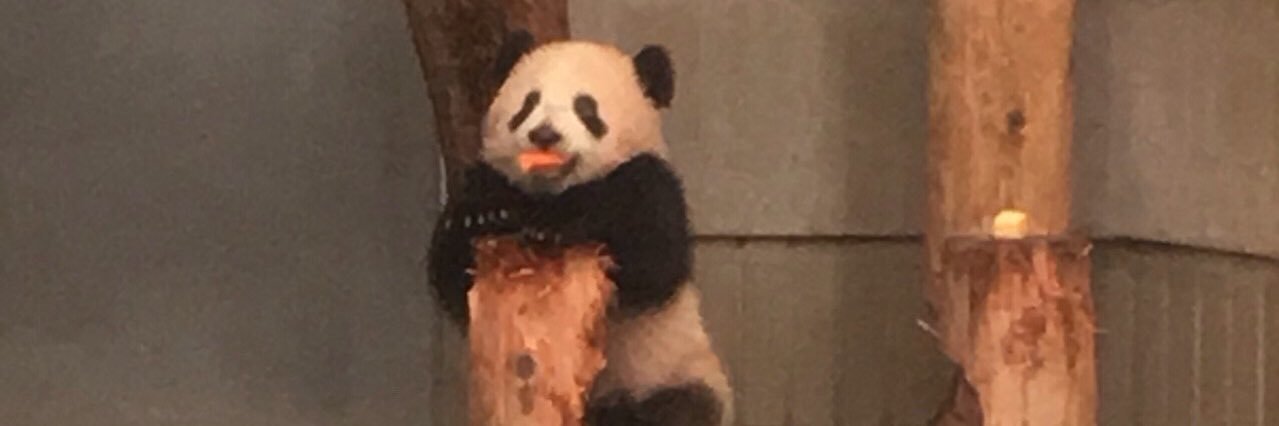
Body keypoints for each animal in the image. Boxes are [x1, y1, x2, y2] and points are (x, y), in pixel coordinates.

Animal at [426, 29, 734, 426]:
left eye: (586, 109)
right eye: (528, 103)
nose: (544, 135)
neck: (550, 192)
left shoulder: (652, 184)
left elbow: (652, 260)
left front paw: (556, 229)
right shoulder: (489, 178)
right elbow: (454, 284)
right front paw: (481, 217)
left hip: (675, 371)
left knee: (681, 406)